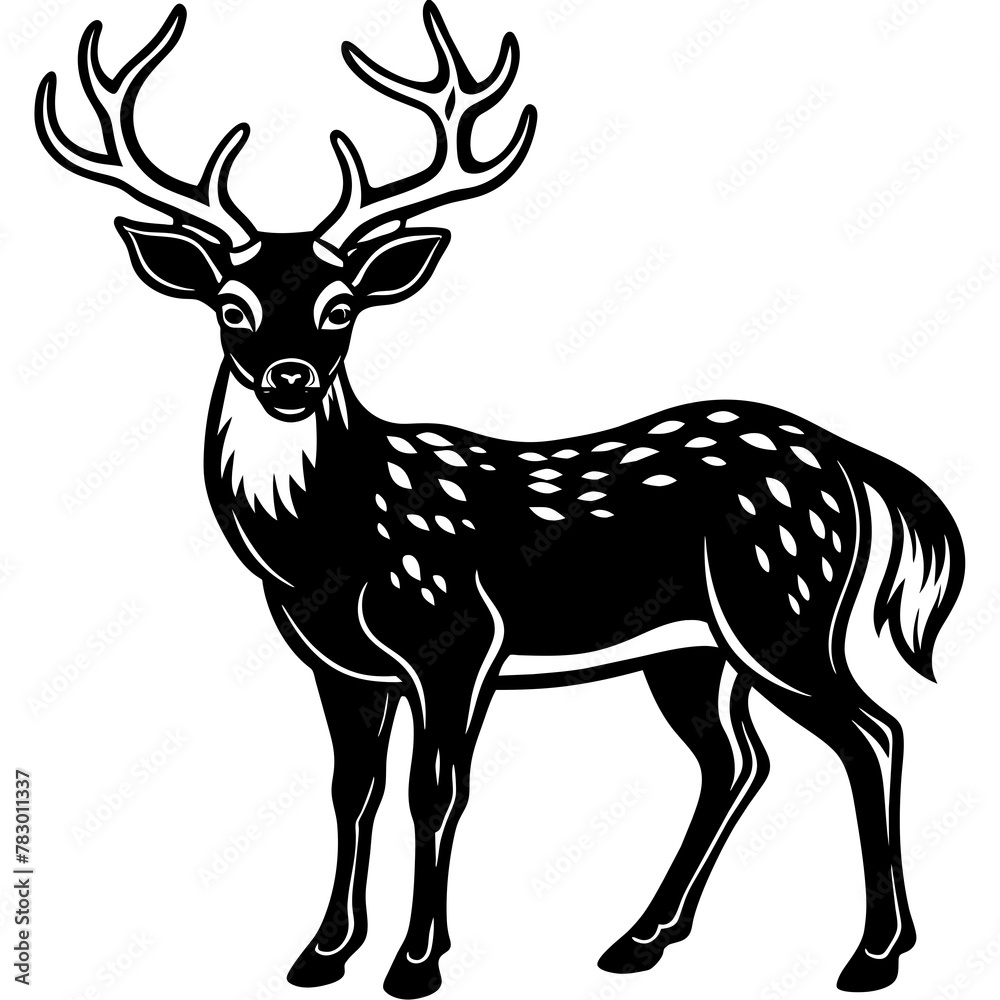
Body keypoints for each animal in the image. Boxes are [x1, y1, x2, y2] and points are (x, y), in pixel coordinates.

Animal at [36, 4, 964, 997]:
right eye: (231, 306)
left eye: (340, 308)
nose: (289, 378)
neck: (320, 549)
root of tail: (846, 458)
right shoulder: (339, 667)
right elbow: (350, 791)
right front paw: (322, 952)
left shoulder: (457, 636)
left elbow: (435, 792)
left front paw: (416, 963)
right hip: (690, 651)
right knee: (736, 761)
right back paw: (643, 938)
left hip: (783, 605)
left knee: (873, 733)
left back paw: (873, 953)